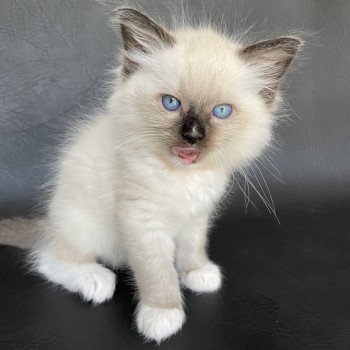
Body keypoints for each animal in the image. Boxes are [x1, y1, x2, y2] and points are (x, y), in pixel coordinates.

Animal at [0, 7, 300, 342]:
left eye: (221, 111)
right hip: (82, 227)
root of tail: (49, 224)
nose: (192, 135)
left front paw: (197, 273)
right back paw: (95, 279)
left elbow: (193, 248)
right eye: (171, 103)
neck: (183, 178)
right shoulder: (144, 222)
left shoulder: (197, 216)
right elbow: (157, 272)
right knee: (49, 259)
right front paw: (162, 316)